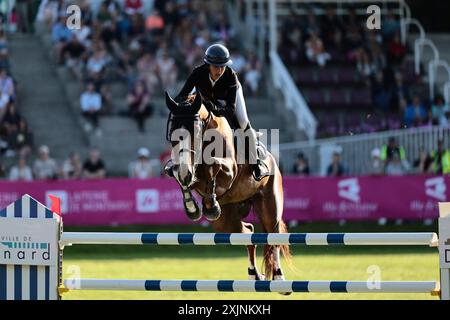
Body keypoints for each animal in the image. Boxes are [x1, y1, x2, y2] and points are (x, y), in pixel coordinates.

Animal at [165, 92, 292, 282]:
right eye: (172, 130)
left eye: (195, 131)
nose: (185, 171)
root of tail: (273, 161)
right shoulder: (185, 170)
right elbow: (178, 174)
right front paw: (193, 207)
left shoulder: (229, 171)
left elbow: (214, 165)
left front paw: (209, 204)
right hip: (226, 220)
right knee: (248, 232)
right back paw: (254, 275)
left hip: (270, 206)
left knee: (273, 237)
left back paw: (278, 277)